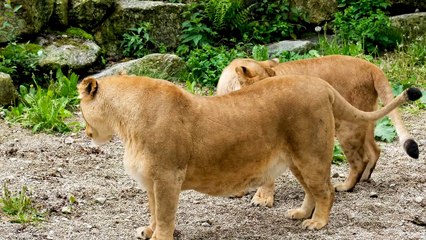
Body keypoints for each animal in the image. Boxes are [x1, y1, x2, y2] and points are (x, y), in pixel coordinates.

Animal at [77, 74, 420, 239]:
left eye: (80, 108)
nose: (86, 133)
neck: (125, 122)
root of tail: (321, 84)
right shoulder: (151, 181)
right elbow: (152, 211)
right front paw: (147, 231)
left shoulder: (167, 177)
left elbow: (164, 215)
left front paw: (160, 237)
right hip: (297, 158)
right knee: (313, 189)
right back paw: (300, 214)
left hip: (310, 153)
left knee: (327, 191)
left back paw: (317, 223)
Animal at [216, 54, 420, 206]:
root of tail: (370, 65)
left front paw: (262, 199)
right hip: (363, 118)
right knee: (374, 150)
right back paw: (364, 178)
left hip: (346, 125)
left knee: (359, 159)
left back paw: (346, 186)